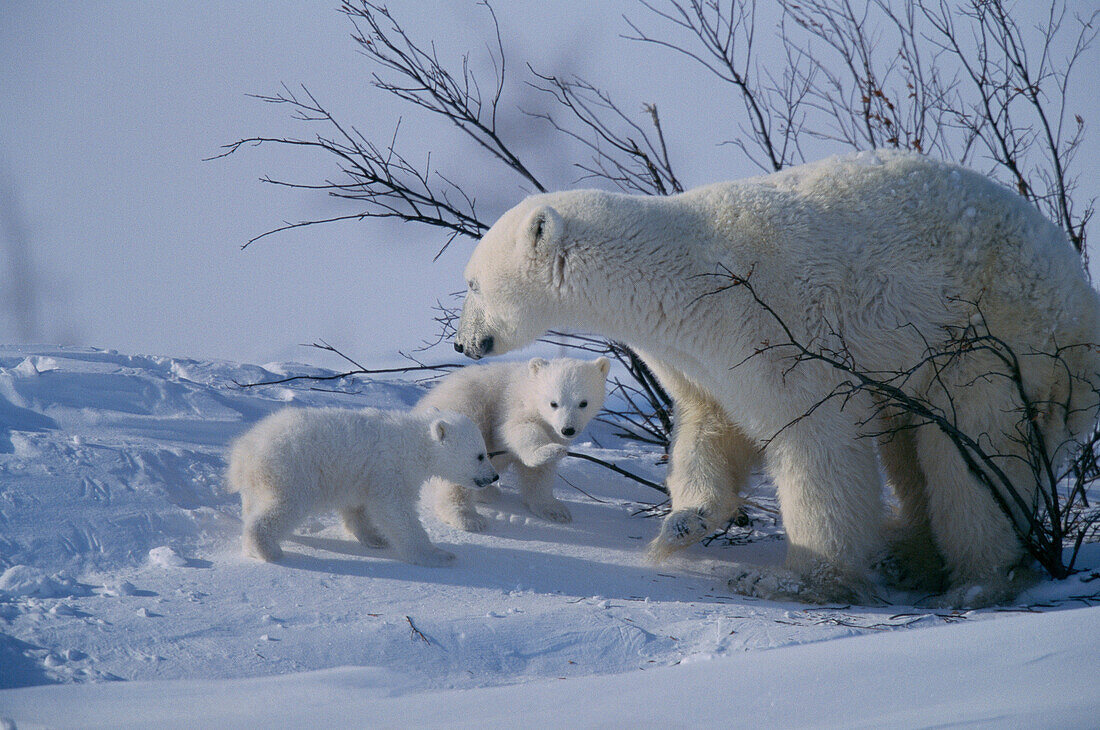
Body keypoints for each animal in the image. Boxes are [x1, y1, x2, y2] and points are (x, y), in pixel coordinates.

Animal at [448, 149, 1100, 602]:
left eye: (473, 282)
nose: (464, 341)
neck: (682, 275)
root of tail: (1081, 303)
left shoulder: (773, 323)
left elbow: (817, 439)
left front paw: (806, 579)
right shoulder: (696, 353)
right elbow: (710, 426)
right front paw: (683, 524)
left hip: (991, 338)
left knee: (970, 452)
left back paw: (979, 579)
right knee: (910, 444)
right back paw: (910, 555)